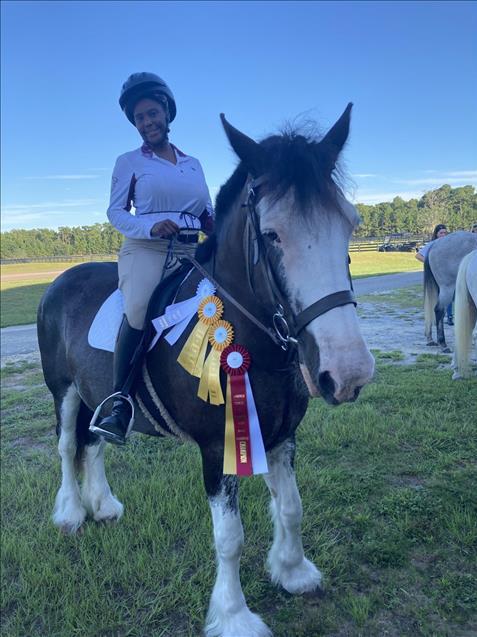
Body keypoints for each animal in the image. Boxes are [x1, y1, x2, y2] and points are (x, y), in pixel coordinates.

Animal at [37, 105, 374, 636]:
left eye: (350, 223)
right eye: (271, 234)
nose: (349, 373)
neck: (250, 337)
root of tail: (60, 282)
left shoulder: (281, 435)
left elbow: (292, 508)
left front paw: (293, 572)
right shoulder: (219, 447)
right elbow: (229, 537)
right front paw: (235, 616)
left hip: (95, 394)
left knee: (94, 443)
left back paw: (104, 506)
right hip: (64, 391)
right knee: (69, 444)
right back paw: (71, 513)